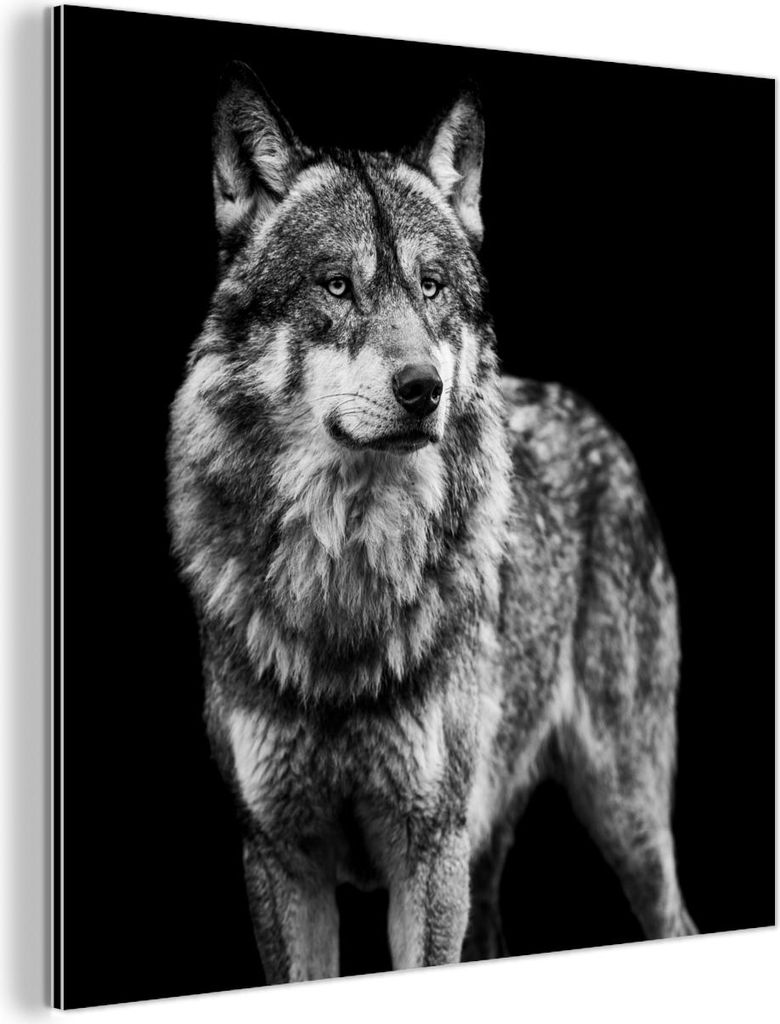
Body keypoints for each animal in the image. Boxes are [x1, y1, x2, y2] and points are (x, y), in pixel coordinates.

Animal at [167, 61, 696, 984]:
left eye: (432, 286)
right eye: (336, 285)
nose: (425, 390)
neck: (346, 575)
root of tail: (594, 418)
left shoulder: (429, 852)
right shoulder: (279, 858)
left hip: (623, 814)